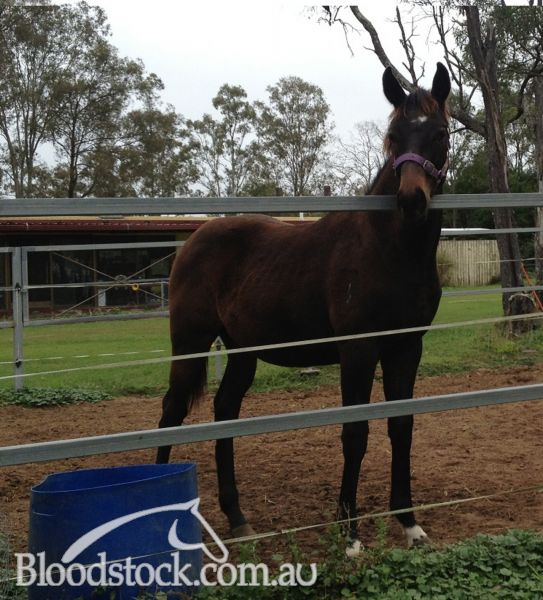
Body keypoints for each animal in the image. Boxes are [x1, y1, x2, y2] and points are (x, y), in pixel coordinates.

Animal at [156, 63, 451, 549]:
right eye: (393, 135)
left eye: (440, 133)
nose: (411, 200)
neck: (389, 250)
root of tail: (194, 239)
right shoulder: (358, 351)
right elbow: (356, 433)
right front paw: (349, 532)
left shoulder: (407, 348)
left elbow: (401, 427)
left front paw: (409, 523)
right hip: (190, 342)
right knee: (171, 411)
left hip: (242, 351)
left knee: (225, 411)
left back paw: (237, 517)